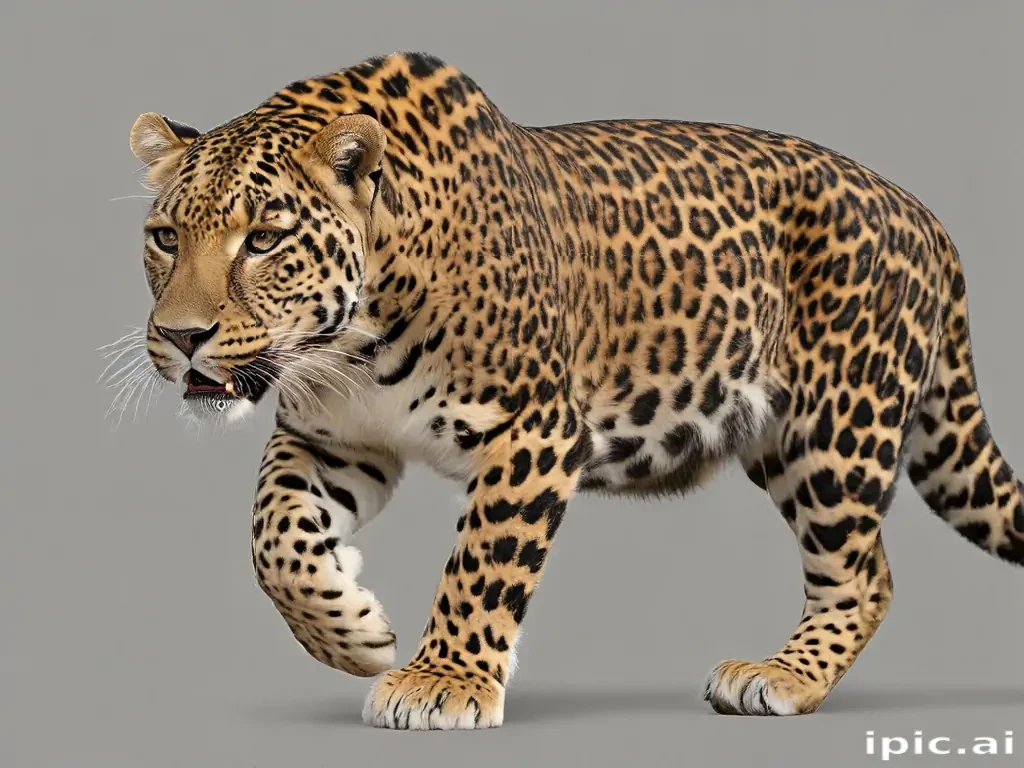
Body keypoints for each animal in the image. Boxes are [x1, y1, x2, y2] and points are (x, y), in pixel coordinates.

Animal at [124, 51, 1024, 729]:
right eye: (165, 237)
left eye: (263, 240)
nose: (181, 336)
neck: (352, 341)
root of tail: (924, 216)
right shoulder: (334, 439)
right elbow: (273, 536)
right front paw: (353, 636)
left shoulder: (534, 425)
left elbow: (484, 559)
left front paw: (442, 683)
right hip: (782, 439)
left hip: (834, 431)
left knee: (864, 574)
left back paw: (784, 676)